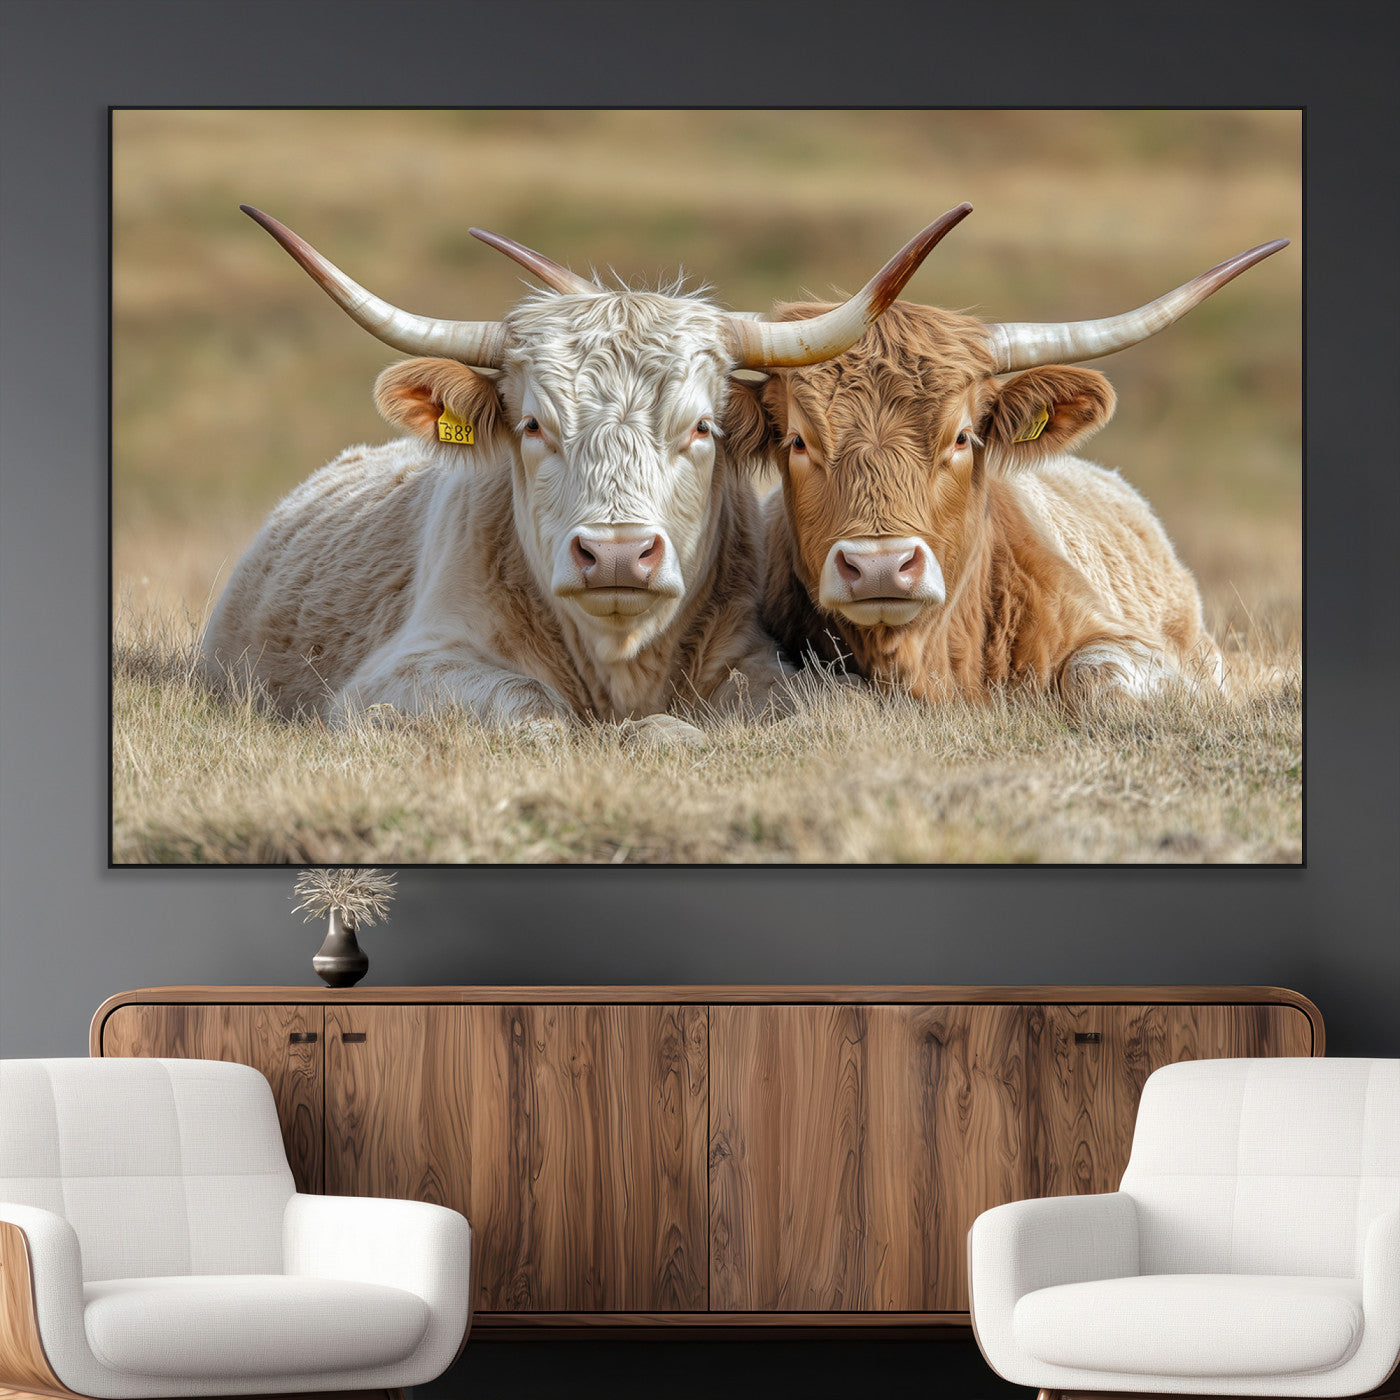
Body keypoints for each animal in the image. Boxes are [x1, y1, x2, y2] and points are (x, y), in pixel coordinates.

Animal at [200, 203, 972, 742]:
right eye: (534, 425)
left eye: (702, 427)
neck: (619, 660)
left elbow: (823, 707)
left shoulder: (760, 660)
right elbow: (528, 707)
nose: (617, 554)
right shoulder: (402, 672)